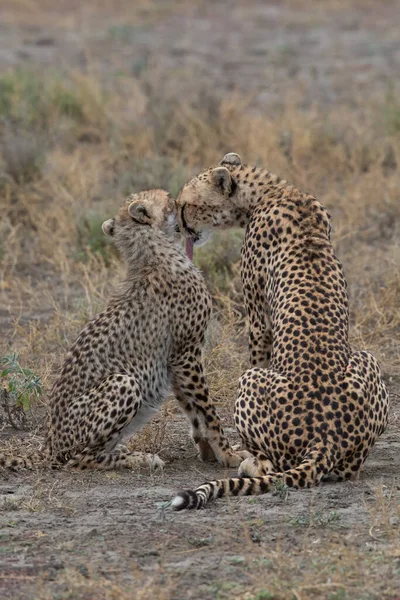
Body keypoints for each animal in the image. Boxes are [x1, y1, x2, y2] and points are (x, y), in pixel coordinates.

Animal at [1, 190, 242, 472]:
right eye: (169, 198)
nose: (181, 202)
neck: (156, 250)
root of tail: (48, 446)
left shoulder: (175, 359)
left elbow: (192, 409)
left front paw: (207, 451)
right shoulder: (187, 352)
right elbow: (206, 409)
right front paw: (228, 454)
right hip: (123, 382)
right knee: (79, 460)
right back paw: (140, 458)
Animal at [170, 152, 390, 508]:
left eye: (186, 205)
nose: (179, 227)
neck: (273, 190)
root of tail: (325, 439)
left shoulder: (258, 319)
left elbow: (258, 349)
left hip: (250, 381)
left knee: (270, 464)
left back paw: (249, 461)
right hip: (367, 359)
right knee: (350, 470)